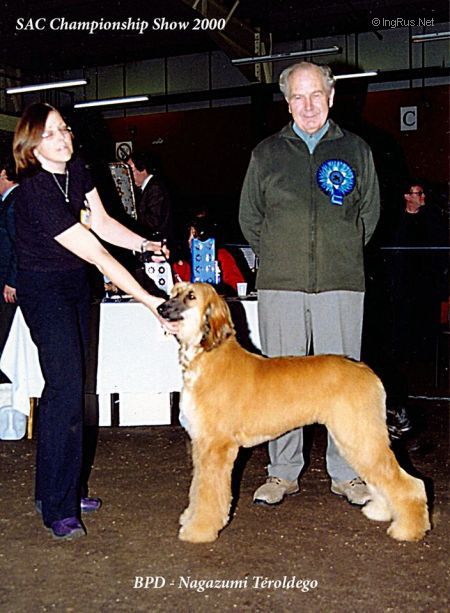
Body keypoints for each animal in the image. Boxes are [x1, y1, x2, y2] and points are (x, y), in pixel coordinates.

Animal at [158, 282, 430, 544]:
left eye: (191, 296)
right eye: (173, 292)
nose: (160, 308)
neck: (209, 355)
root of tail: (368, 372)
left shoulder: (217, 447)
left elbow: (209, 494)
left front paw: (199, 530)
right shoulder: (201, 445)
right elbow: (197, 488)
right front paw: (190, 518)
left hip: (359, 434)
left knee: (410, 483)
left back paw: (408, 529)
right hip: (354, 436)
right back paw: (382, 511)